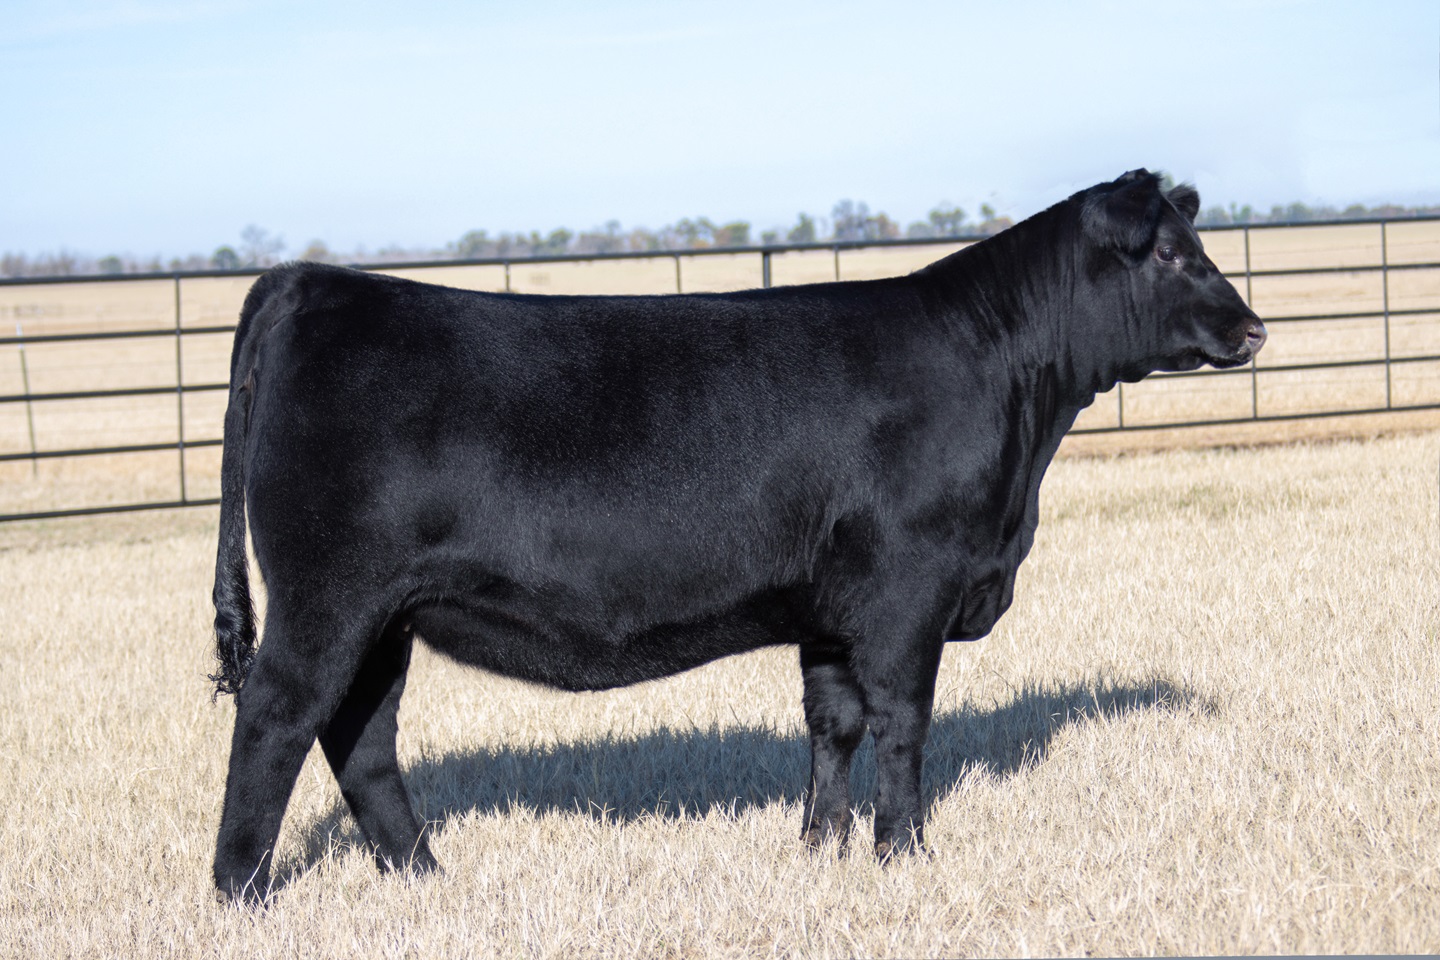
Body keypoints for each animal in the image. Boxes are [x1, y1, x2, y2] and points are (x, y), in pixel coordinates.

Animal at [209, 169, 1265, 902]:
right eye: (1170, 255)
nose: (1253, 328)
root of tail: (309, 284)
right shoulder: (908, 589)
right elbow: (903, 722)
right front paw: (903, 852)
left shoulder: (833, 608)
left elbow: (833, 724)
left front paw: (820, 848)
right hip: (327, 598)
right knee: (276, 719)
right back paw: (241, 893)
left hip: (385, 617)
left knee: (360, 738)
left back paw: (424, 876)